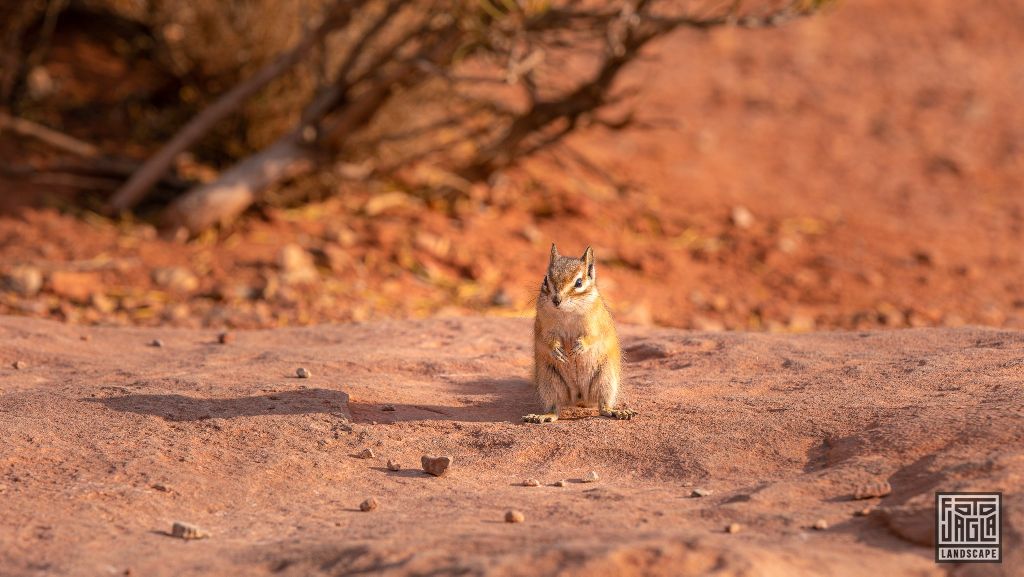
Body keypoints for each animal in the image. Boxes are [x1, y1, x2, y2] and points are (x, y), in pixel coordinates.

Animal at [523, 243, 636, 423]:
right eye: (546, 279)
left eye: (578, 282)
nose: (556, 300)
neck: (566, 313)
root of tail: (579, 398)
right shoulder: (544, 327)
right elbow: (547, 340)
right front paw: (558, 351)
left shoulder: (595, 325)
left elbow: (592, 337)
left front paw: (578, 348)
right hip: (549, 382)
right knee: (555, 409)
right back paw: (542, 416)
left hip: (606, 379)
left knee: (603, 406)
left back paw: (617, 412)